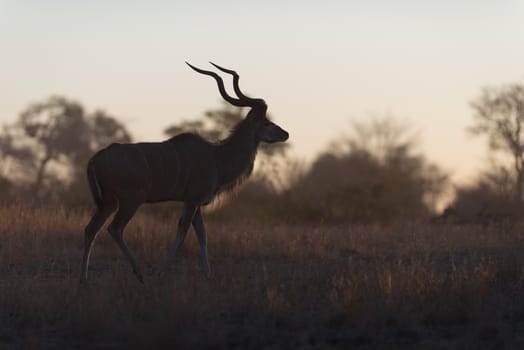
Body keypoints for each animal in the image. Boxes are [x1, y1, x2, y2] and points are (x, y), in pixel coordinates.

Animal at [80, 61, 288, 284]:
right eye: (266, 122)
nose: (285, 134)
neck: (217, 157)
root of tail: (95, 159)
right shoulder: (191, 201)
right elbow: (181, 233)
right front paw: (161, 272)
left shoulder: (195, 204)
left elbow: (203, 235)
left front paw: (208, 274)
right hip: (130, 201)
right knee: (115, 228)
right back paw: (139, 273)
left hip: (108, 203)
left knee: (91, 229)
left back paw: (84, 279)